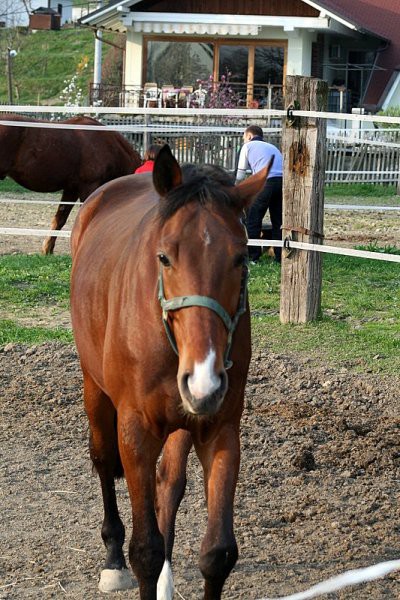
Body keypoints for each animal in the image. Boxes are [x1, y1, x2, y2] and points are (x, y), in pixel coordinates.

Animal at [70, 146, 274, 600]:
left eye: (240, 258)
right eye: (164, 256)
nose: (204, 379)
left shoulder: (220, 428)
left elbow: (218, 552)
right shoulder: (136, 430)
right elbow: (145, 550)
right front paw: (135, 561)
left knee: (170, 481)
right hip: (95, 388)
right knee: (102, 458)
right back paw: (112, 560)